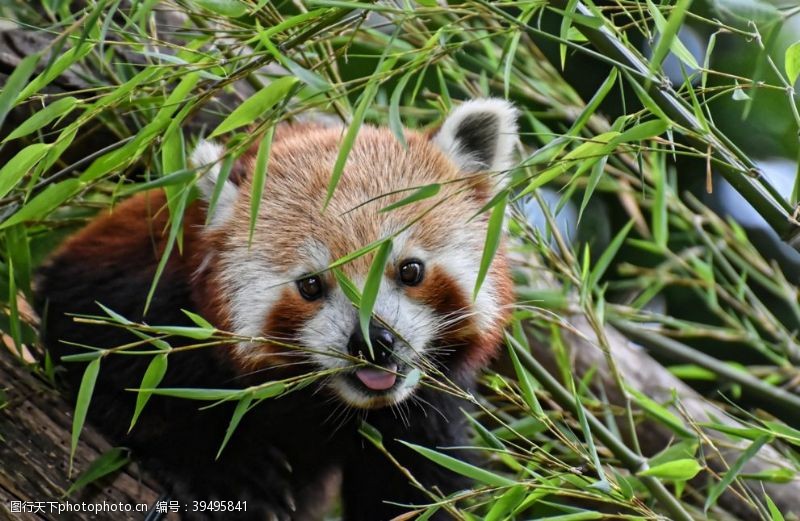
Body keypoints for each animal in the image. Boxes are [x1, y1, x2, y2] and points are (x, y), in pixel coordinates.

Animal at [34, 96, 520, 516]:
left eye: (410, 270)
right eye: (310, 285)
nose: (372, 342)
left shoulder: (425, 412)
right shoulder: (137, 293)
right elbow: (104, 373)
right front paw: (227, 469)